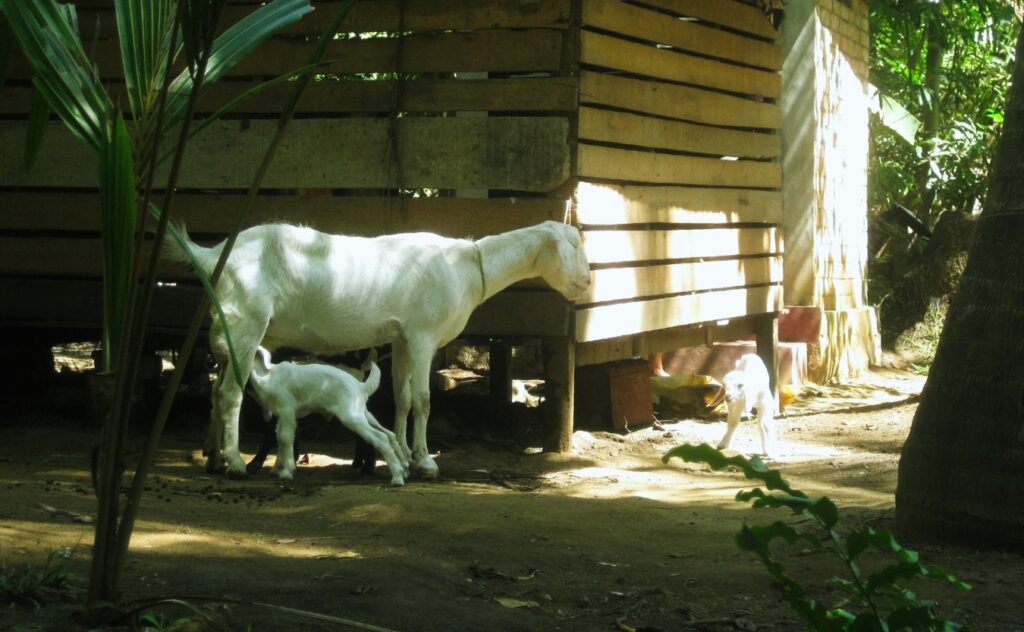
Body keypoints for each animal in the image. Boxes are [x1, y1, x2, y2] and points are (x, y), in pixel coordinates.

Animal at [163, 219, 589, 475]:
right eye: (573, 244)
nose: (587, 282)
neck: (467, 266)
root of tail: (214, 255)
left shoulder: (401, 337)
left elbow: (402, 398)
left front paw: (402, 453)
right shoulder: (423, 335)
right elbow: (424, 400)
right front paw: (425, 462)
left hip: (231, 328)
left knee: (217, 391)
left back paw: (214, 457)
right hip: (246, 321)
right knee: (230, 393)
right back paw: (235, 461)